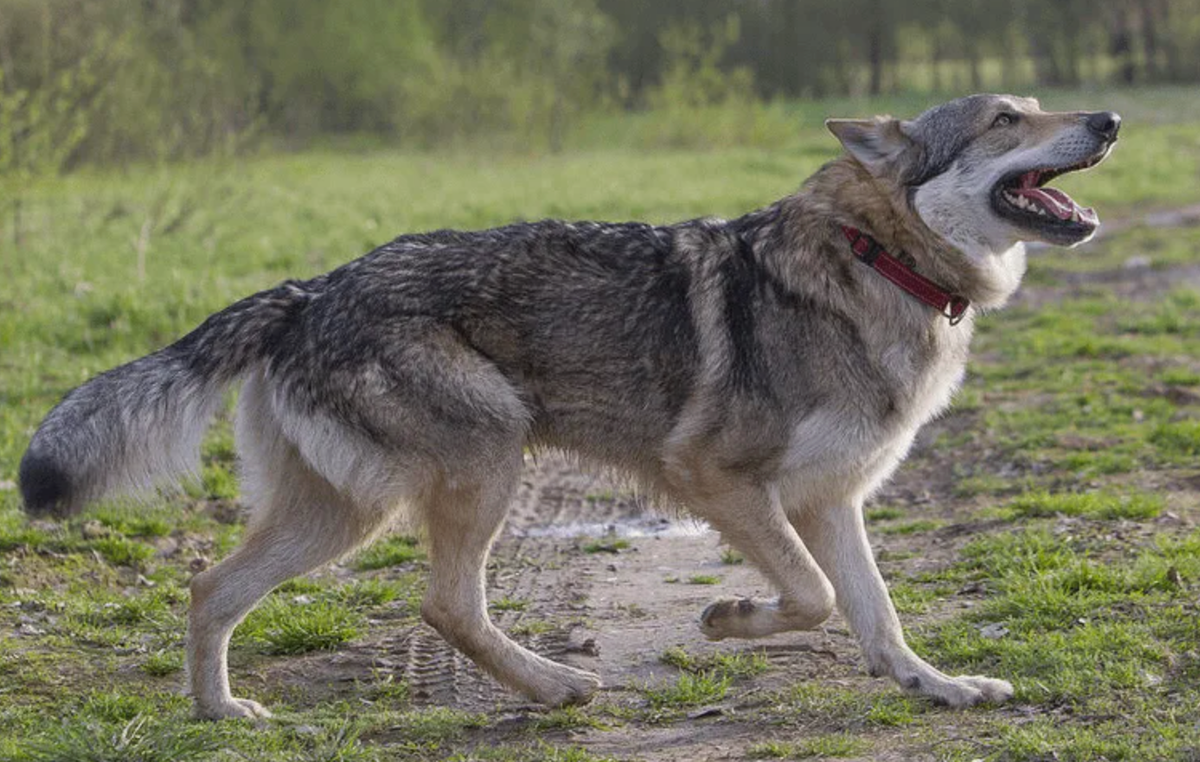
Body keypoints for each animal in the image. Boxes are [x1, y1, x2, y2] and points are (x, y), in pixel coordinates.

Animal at [18, 92, 1118, 720]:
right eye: (1005, 120)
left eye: (1036, 104)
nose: (1110, 120)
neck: (879, 260)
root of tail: (306, 289)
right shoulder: (715, 479)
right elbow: (811, 598)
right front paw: (729, 618)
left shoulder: (830, 500)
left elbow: (878, 618)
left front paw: (940, 689)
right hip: (478, 465)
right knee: (443, 605)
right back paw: (555, 688)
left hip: (343, 511)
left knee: (209, 586)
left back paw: (223, 717)